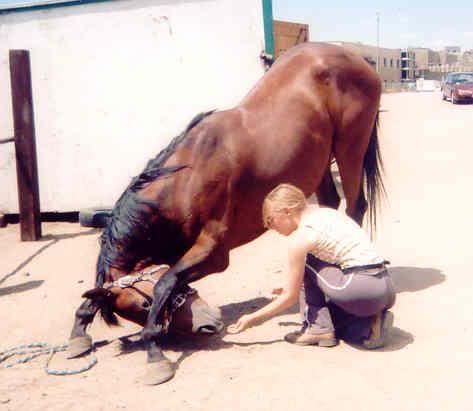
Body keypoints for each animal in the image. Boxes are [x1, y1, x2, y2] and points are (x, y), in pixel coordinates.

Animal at [67, 42, 384, 386]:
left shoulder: (214, 252)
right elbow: (157, 281)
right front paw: (78, 333)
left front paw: (154, 353)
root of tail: (356, 59)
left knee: (355, 206)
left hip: (350, 148)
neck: (186, 179)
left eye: (144, 304)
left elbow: (166, 282)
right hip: (319, 161)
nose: (211, 323)